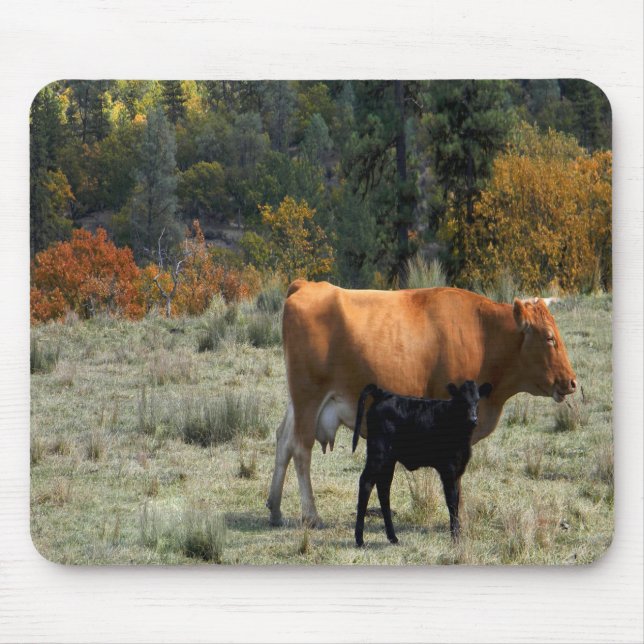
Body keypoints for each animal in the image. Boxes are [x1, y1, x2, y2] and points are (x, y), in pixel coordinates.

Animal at [266, 280, 576, 528]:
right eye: (549, 337)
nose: (572, 382)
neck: (483, 334)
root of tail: (307, 285)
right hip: (308, 398)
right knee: (300, 450)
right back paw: (311, 515)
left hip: (298, 403)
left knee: (283, 441)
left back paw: (275, 509)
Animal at [352, 381, 493, 546]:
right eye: (462, 400)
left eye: (477, 400)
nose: (473, 419)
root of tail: (383, 393)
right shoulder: (448, 469)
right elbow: (451, 502)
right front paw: (455, 538)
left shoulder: (458, 470)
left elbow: (457, 501)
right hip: (378, 454)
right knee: (366, 482)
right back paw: (359, 539)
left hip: (388, 460)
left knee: (383, 489)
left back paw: (392, 537)